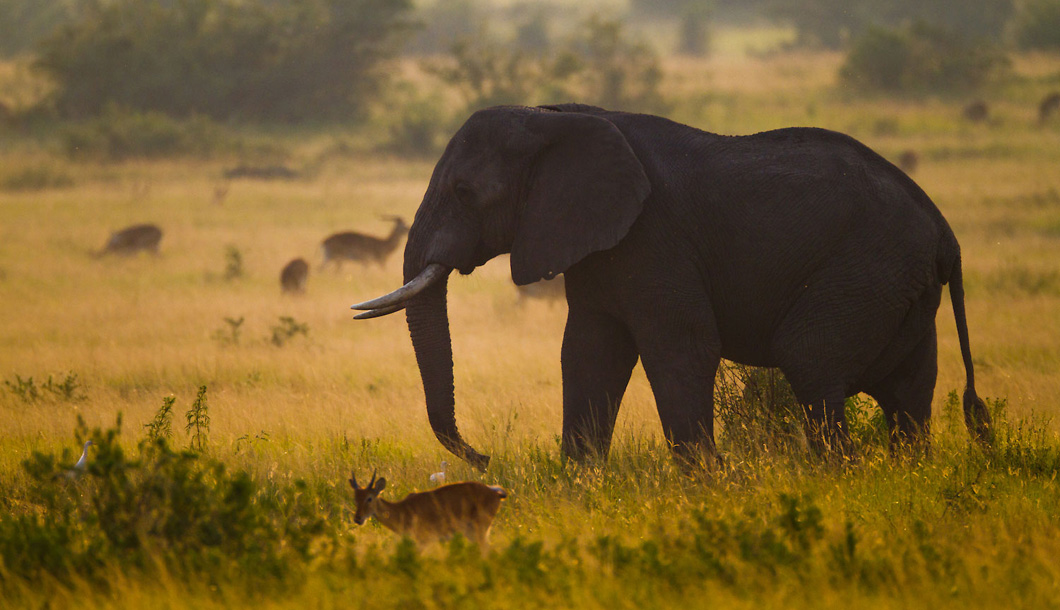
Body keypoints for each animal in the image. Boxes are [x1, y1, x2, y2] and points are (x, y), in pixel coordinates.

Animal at [349, 473, 506, 547]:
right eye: (355, 498)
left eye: (369, 498)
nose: (358, 518)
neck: (402, 510)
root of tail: (496, 493)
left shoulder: (423, 541)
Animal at [351, 102, 987, 471]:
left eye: (464, 192)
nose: (484, 460)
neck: (554, 116)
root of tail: (944, 231)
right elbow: (588, 354)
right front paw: (579, 484)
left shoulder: (655, 236)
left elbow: (679, 348)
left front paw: (709, 485)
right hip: (896, 282)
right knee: (908, 387)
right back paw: (905, 476)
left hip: (866, 267)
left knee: (810, 359)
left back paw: (843, 476)